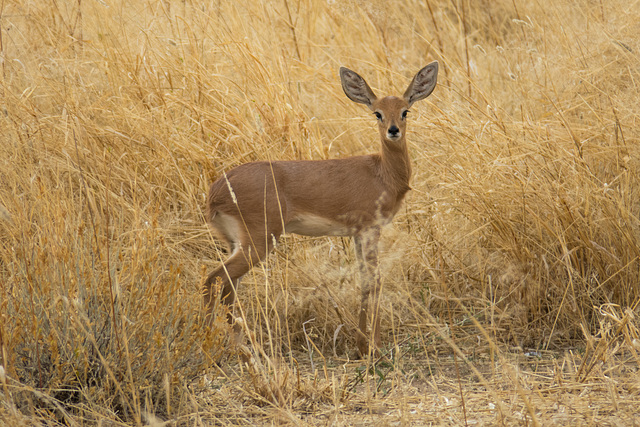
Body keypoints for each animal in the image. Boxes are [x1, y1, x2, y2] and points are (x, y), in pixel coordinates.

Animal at [205, 62, 440, 358]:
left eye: (404, 110)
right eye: (377, 112)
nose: (394, 130)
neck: (382, 173)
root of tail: (216, 192)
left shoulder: (357, 235)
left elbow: (364, 281)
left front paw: (362, 345)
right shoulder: (370, 230)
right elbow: (374, 281)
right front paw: (373, 347)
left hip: (236, 243)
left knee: (227, 287)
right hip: (259, 241)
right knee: (213, 280)